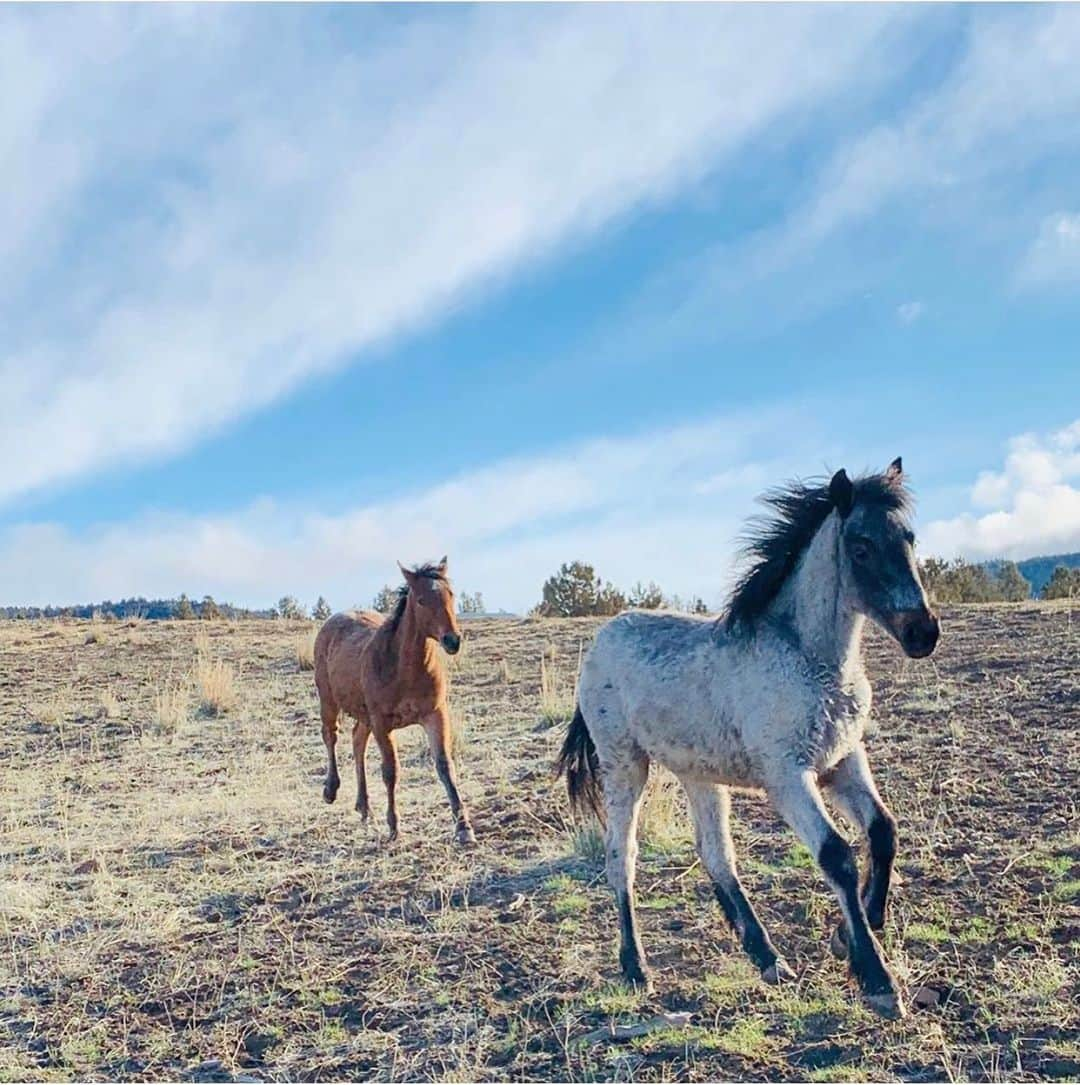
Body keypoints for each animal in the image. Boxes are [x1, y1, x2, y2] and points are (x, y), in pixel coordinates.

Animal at [316, 559, 477, 846]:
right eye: (421, 600)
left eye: (451, 594)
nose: (452, 640)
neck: (405, 669)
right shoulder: (382, 723)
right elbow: (391, 771)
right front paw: (394, 827)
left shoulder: (435, 715)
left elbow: (445, 766)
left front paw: (464, 828)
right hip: (329, 700)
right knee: (331, 735)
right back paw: (331, 789)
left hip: (364, 715)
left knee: (357, 741)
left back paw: (364, 807)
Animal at [555, 457, 937, 1015]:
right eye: (861, 546)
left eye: (909, 538)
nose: (923, 634)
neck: (812, 660)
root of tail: (603, 636)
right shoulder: (788, 775)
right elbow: (837, 856)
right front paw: (875, 976)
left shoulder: (842, 760)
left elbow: (883, 832)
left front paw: (847, 937)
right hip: (624, 763)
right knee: (620, 856)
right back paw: (636, 968)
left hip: (699, 774)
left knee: (716, 854)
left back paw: (767, 957)